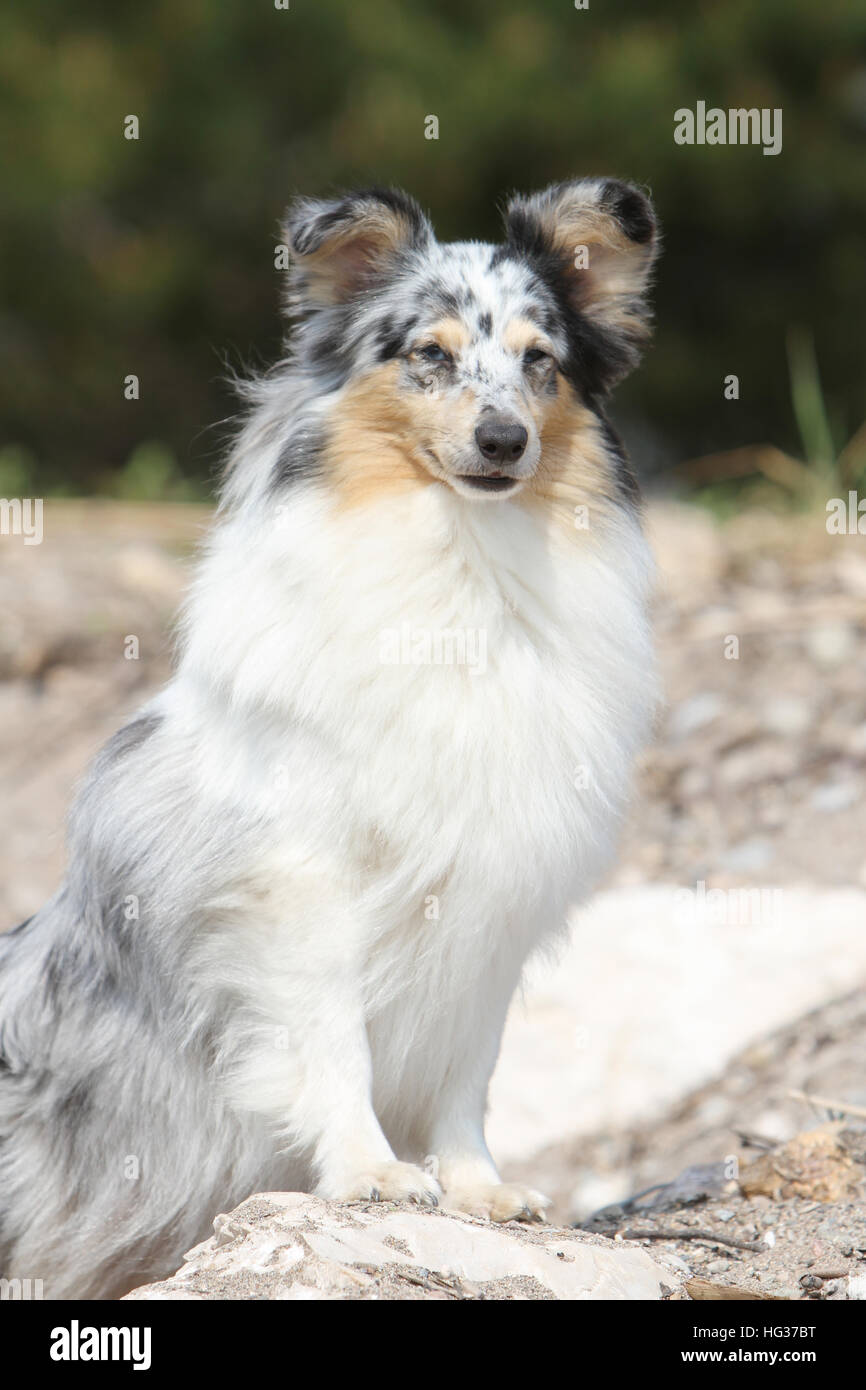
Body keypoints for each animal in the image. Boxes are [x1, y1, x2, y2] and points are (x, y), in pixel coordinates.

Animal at [0, 179, 656, 1295]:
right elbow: (332, 1040)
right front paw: (370, 1172)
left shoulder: (494, 894)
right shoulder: (297, 884)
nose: (502, 442)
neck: (458, 572)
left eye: (541, 359)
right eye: (428, 353)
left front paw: (479, 1189)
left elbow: (469, 1069)